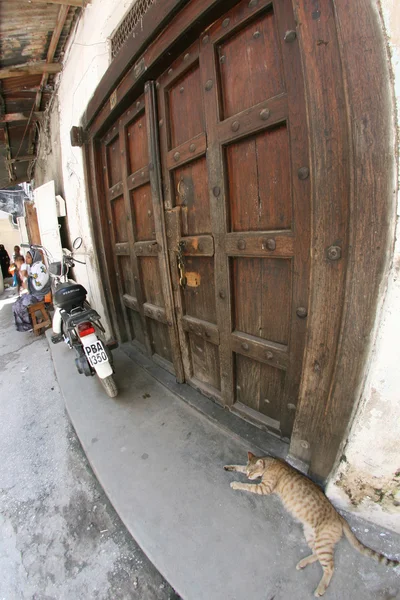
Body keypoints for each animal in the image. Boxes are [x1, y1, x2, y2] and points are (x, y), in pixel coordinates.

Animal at [223, 454, 398, 596]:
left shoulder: (264, 487)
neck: (272, 462)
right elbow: (238, 466)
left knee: (330, 566)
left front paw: (237, 483)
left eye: (252, 472)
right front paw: (230, 467)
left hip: (322, 542)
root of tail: (339, 516)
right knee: (317, 555)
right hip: (311, 535)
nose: (248, 475)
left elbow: (248, 486)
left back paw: (320, 589)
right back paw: (302, 563)